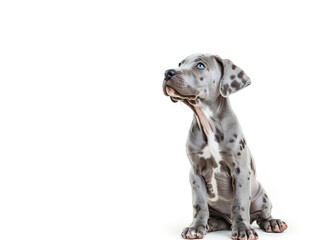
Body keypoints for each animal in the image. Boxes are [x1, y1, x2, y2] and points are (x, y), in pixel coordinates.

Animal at [162, 54, 288, 240]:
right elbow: (199, 204)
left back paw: (273, 223)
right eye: (180, 64)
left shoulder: (241, 171)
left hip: (262, 197)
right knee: (215, 217)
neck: (207, 123)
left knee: (262, 216)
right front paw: (195, 228)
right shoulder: (195, 173)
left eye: (200, 65)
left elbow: (239, 203)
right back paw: (210, 224)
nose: (168, 72)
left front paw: (243, 229)